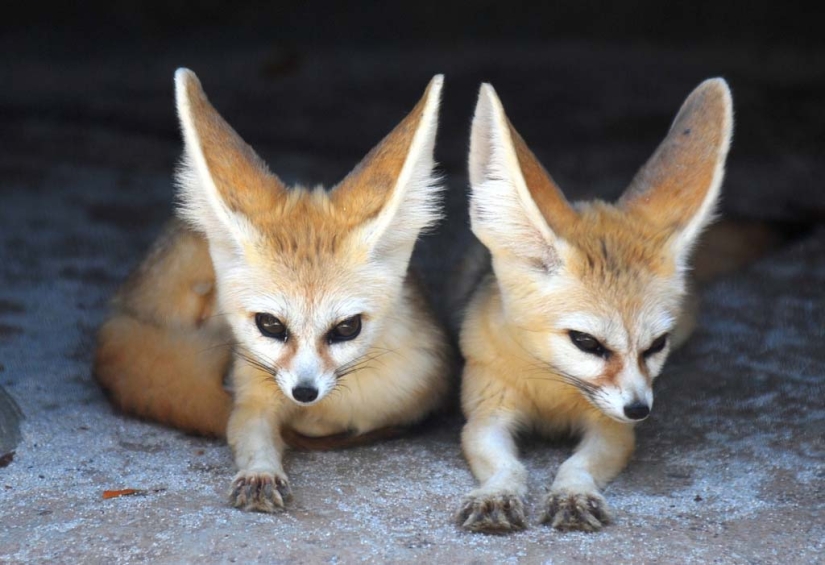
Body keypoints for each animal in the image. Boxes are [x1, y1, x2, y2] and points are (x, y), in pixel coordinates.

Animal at [94, 69, 451, 512]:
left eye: (346, 328)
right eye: (270, 325)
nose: (304, 391)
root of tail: (122, 303)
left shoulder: (412, 388)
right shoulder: (253, 395)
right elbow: (250, 432)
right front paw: (260, 471)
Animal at [456, 78, 733, 533]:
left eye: (657, 345)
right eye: (586, 342)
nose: (639, 409)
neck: (550, 390)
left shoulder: (612, 428)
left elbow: (577, 465)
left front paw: (573, 494)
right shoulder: (486, 415)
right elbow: (508, 466)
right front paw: (496, 494)